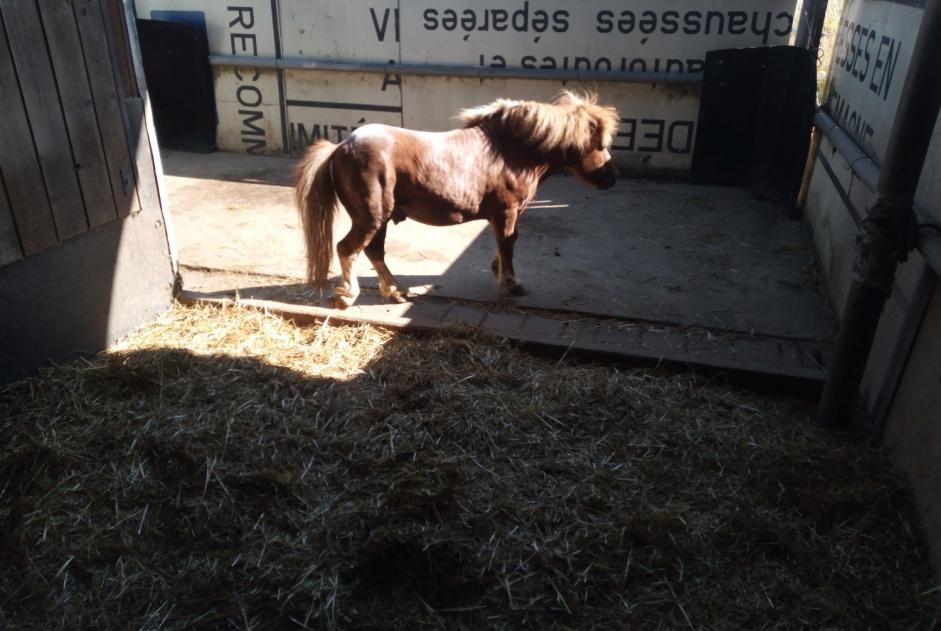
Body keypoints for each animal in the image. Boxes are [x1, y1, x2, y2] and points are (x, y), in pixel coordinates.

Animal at [294, 91, 620, 309]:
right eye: (600, 145)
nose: (611, 179)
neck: (510, 151)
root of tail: (340, 148)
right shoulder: (507, 211)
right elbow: (509, 243)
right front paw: (511, 283)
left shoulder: (502, 216)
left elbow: (504, 243)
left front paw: (498, 270)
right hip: (371, 217)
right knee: (348, 249)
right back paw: (347, 296)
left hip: (381, 218)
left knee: (374, 252)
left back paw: (396, 291)